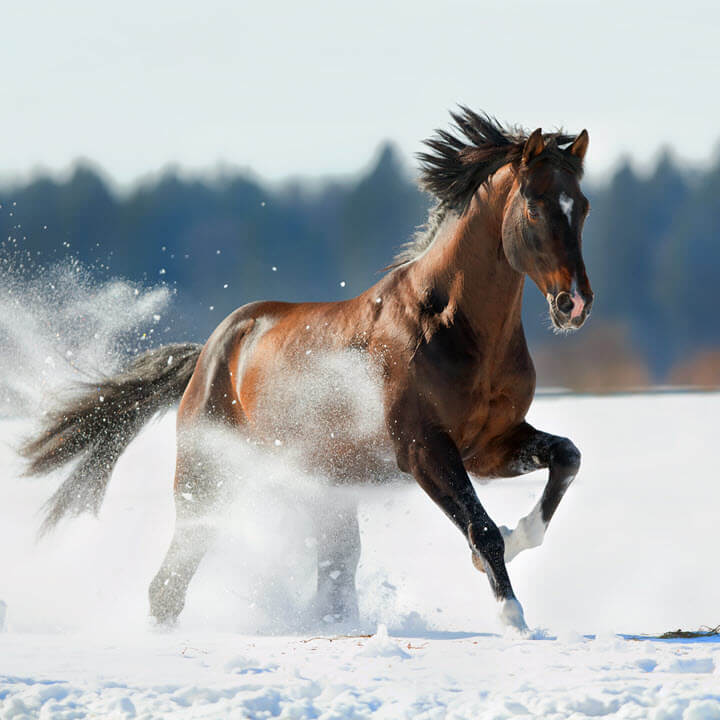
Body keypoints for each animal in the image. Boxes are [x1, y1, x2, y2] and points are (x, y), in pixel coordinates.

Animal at [23, 107, 596, 632]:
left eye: (584, 206)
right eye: (535, 205)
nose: (574, 304)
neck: (449, 325)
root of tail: (210, 352)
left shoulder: (490, 446)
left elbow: (567, 456)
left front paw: (521, 539)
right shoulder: (423, 450)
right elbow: (481, 528)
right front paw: (512, 616)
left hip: (325, 490)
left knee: (332, 575)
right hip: (208, 481)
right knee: (170, 582)